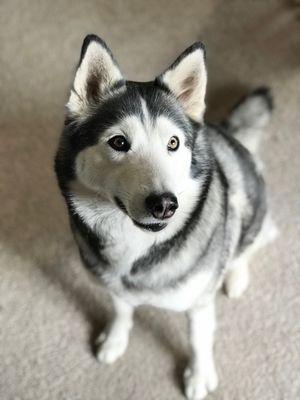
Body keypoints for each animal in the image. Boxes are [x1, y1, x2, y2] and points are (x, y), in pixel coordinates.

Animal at [54, 35, 276, 400]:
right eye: (118, 142)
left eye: (173, 143)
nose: (165, 204)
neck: (138, 245)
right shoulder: (113, 285)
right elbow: (121, 311)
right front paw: (114, 340)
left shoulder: (199, 303)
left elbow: (199, 340)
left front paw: (198, 375)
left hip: (251, 204)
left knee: (254, 240)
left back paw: (235, 275)